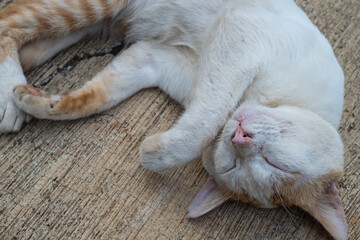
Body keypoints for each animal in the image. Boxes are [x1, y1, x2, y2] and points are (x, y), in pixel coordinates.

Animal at [0, 0, 348, 239]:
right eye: (279, 165)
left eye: (232, 167)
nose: (240, 138)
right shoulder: (243, 34)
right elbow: (205, 122)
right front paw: (154, 152)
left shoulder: (152, 58)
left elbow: (97, 96)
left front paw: (43, 102)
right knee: (8, 21)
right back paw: (8, 96)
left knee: (26, 39)